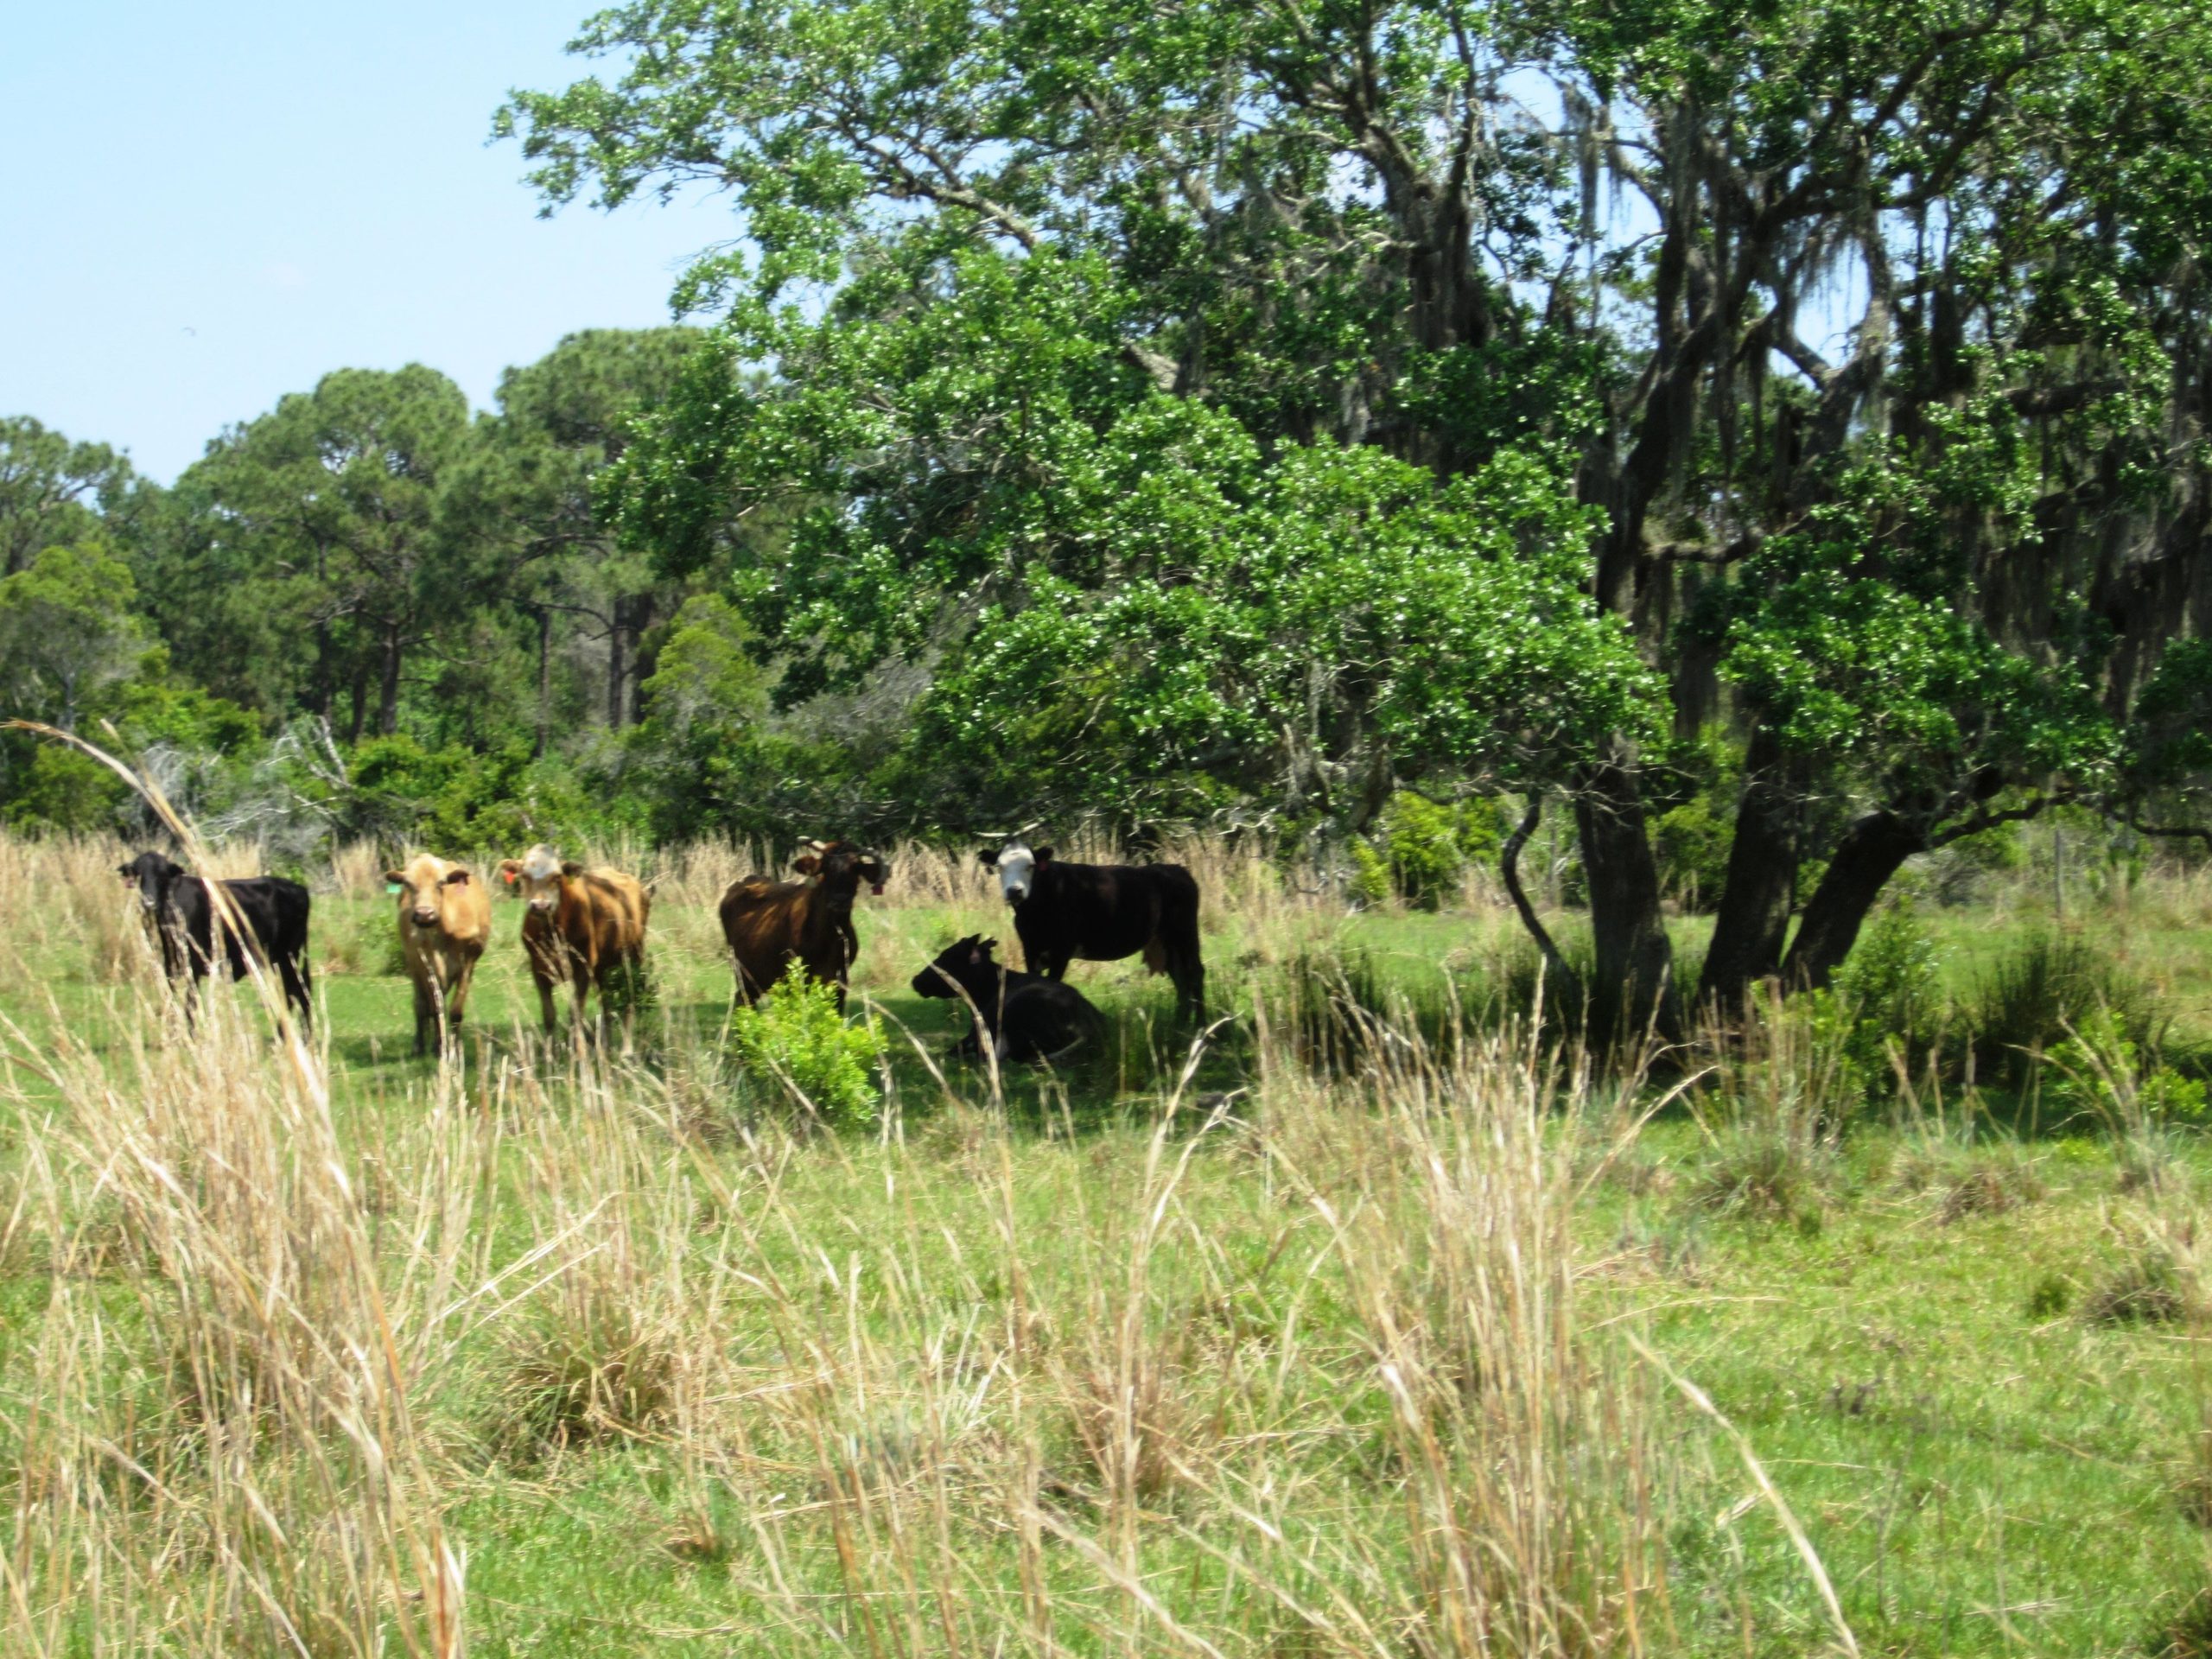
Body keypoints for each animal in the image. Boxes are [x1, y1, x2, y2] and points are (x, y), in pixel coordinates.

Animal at [115, 851, 314, 1030]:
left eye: (163, 875)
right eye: (138, 874)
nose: (149, 902)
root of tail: (298, 888)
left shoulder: (193, 967)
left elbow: (190, 1005)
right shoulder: (171, 966)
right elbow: (170, 999)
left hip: (289, 957)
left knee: (297, 995)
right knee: (297, 994)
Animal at [384, 853, 492, 1057]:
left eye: (441, 883)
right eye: (408, 884)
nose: (424, 914)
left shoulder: (468, 963)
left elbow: (456, 1010)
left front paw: (455, 1047)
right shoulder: (425, 964)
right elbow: (435, 1007)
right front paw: (440, 1046)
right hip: (414, 963)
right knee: (421, 1005)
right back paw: (421, 1045)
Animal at [494, 845, 651, 1036]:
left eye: (557, 876)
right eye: (524, 875)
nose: (540, 906)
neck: (553, 933)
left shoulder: (583, 966)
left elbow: (575, 1013)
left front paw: (578, 1045)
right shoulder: (539, 968)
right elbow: (549, 1015)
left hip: (635, 956)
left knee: (630, 998)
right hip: (602, 969)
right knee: (605, 1005)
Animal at [720, 838, 887, 1010]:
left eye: (856, 867)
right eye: (826, 866)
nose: (840, 899)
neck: (830, 938)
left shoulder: (840, 982)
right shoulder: (793, 980)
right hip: (744, 975)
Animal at [978, 839, 1205, 1016]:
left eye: (1031, 865)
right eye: (999, 866)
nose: (1015, 891)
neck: (1034, 914)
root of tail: (1175, 869)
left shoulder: (1062, 949)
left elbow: (1053, 983)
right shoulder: (1030, 948)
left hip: (1185, 933)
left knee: (1195, 973)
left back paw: (1200, 1028)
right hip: (1165, 941)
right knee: (1181, 979)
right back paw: (1180, 1023)